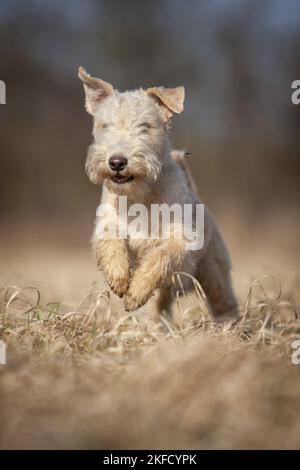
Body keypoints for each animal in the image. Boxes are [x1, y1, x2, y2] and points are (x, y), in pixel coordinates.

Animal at [78, 66, 238, 322]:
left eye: (145, 126)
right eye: (105, 126)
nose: (117, 162)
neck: (140, 196)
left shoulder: (180, 238)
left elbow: (159, 258)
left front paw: (135, 292)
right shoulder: (107, 222)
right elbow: (110, 242)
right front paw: (119, 279)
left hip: (216, 275)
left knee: (224, 302)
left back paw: (231, 326)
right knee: (159, 306)